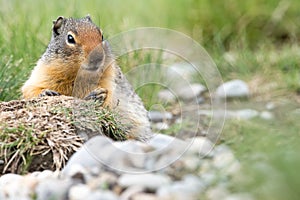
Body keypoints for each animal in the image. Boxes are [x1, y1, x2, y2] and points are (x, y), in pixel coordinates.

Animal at [22, 15, 151, 140]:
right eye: (70, 38)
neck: (77, 75)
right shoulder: (42, 73)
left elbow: (110, 104)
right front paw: (46, 93)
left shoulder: (110, 81)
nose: (97, 57)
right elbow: (29, 89)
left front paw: (97, 96)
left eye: (102, 36)